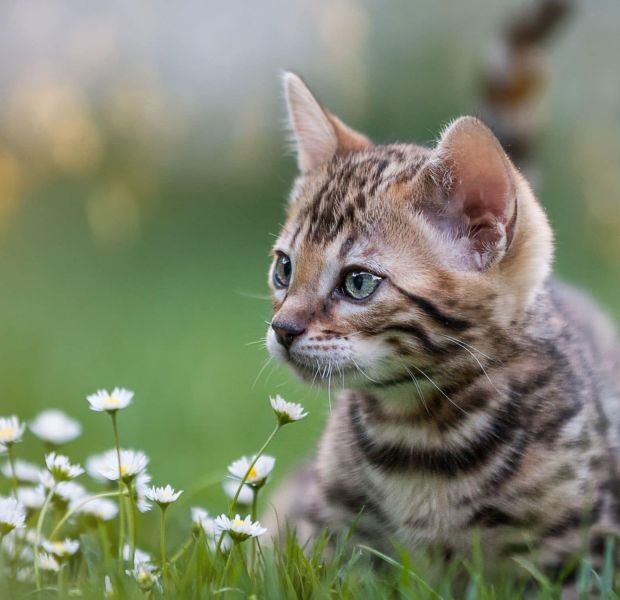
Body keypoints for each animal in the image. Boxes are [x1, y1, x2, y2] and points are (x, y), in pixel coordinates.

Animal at [264, 72, 620, 580]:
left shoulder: (581, 551)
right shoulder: (333, 537)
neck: (417, 433)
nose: (282, 328)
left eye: (357, 283)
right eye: (284, 269)